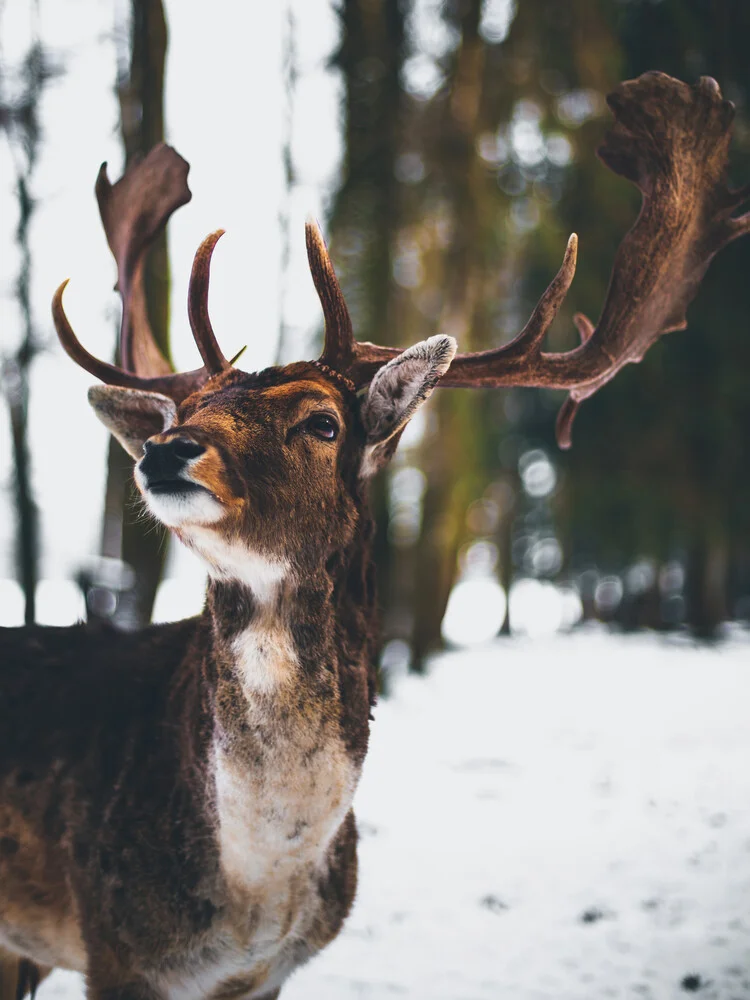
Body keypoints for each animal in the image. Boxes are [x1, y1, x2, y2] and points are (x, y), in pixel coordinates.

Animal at [1, 70, 750, 1000]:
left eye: (323, 423)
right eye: (185, 411)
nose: (166, 451)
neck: (257, 891)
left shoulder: (265, 973)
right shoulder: (117, 949)